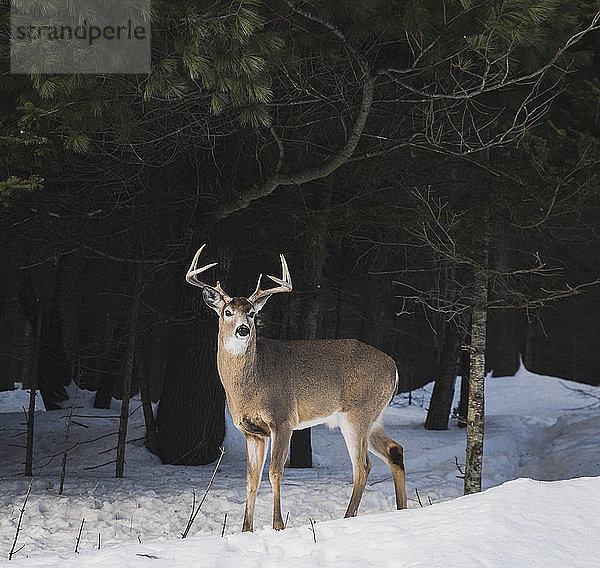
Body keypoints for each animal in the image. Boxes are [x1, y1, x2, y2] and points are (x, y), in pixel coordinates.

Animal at [184, 245, 408, 532]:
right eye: (227, 312)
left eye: (252, 313)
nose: (244, 330)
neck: (250, 386)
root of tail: (394, 366)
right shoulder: (251, 431)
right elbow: (251, 478)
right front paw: (246, 530)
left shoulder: (283, 419)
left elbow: (275, 472)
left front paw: (278, 525)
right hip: (372, 416)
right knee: (394, 450)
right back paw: (402, 510)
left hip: (358, 414)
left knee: (362, 466)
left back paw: (347, 517)